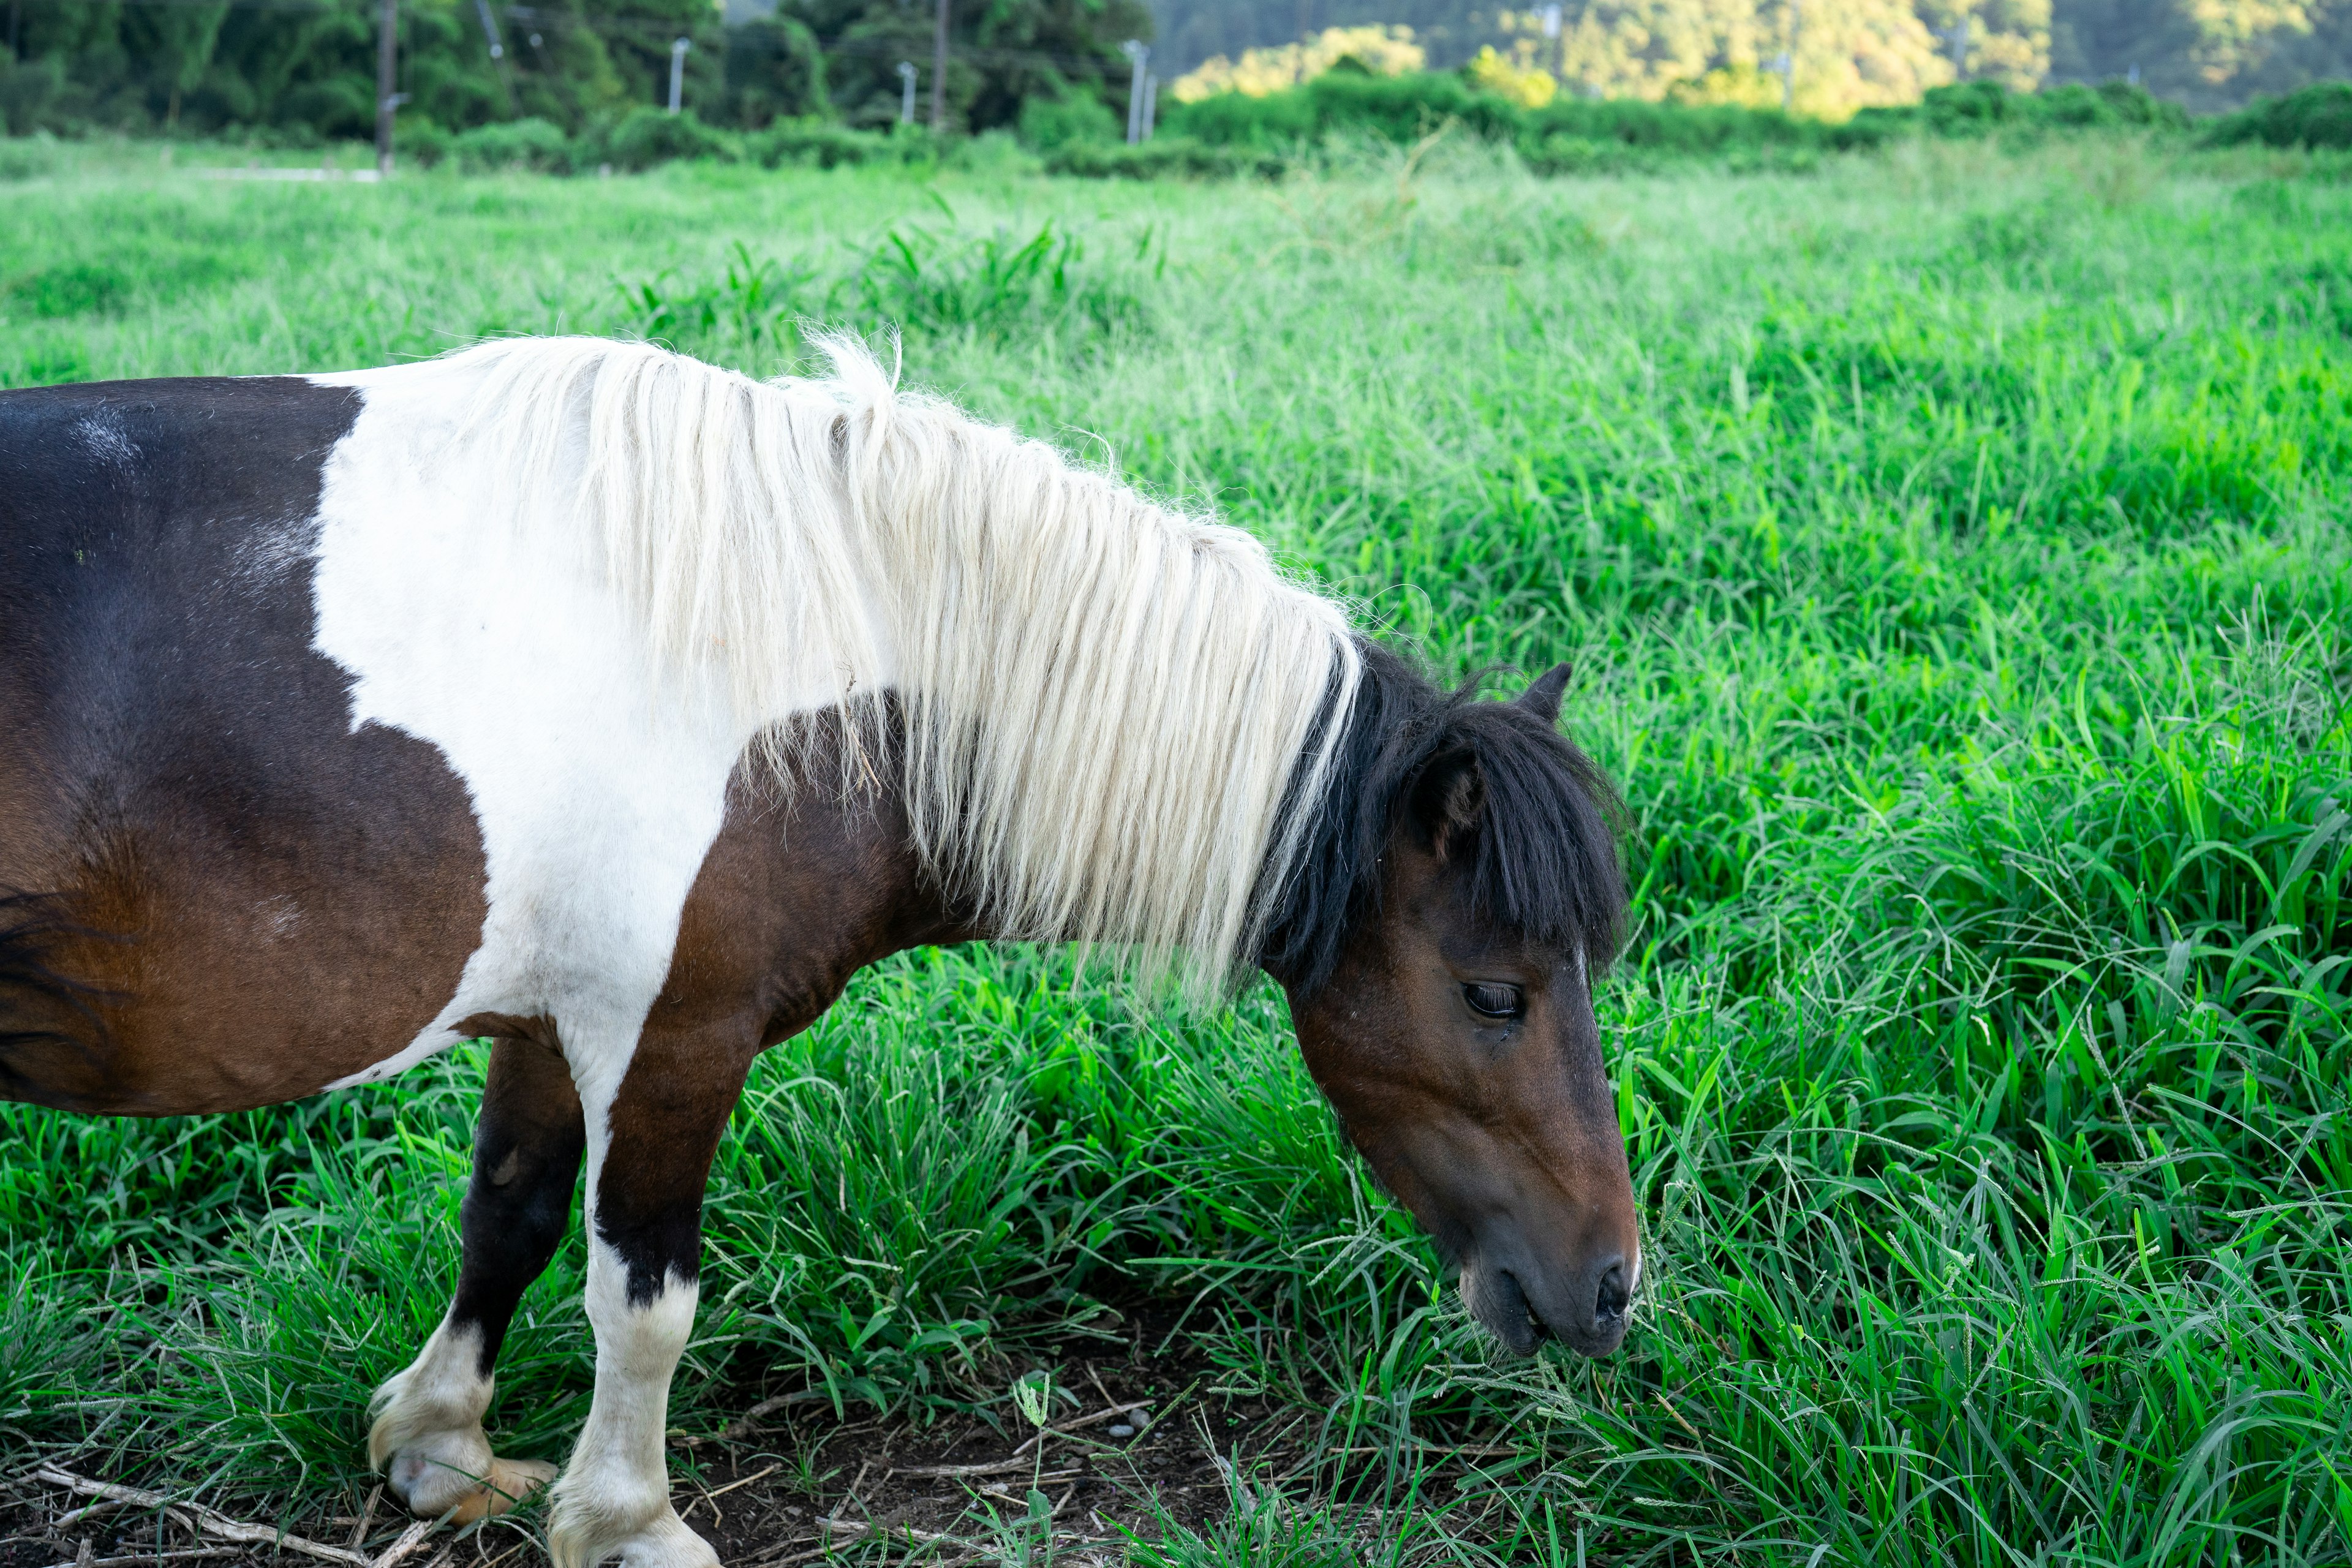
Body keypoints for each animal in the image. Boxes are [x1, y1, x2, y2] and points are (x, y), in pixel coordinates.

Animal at [0, 343, 1637, 1568]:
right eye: (1497, 993)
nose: (1615, 1285)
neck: (803, 665)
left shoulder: (558, 1021)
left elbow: (506, 1219)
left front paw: (438, 1445)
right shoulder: (673, 1034)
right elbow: (644, 1297)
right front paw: (629, 1519)